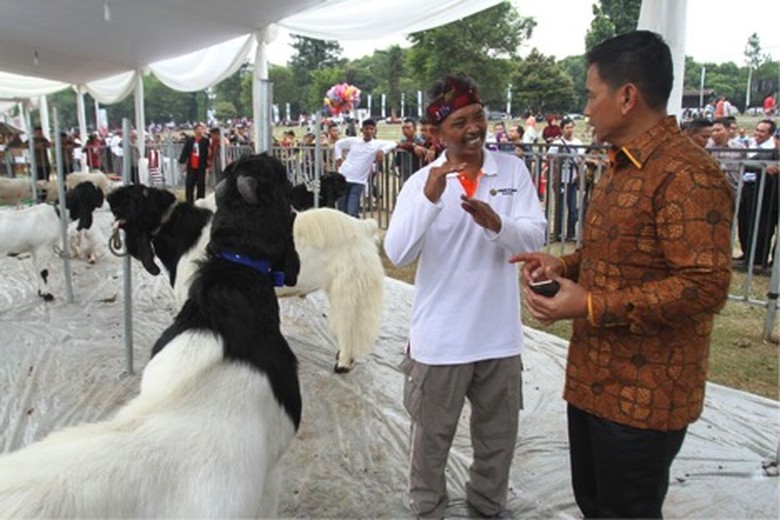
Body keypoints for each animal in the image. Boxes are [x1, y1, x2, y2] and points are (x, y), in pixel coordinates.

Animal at [107, 181, 384, 372]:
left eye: (139, 195)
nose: (110, 195)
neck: (186, 233)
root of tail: (363, 226)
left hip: (348, 289)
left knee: (350, 323)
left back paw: (343, 362)